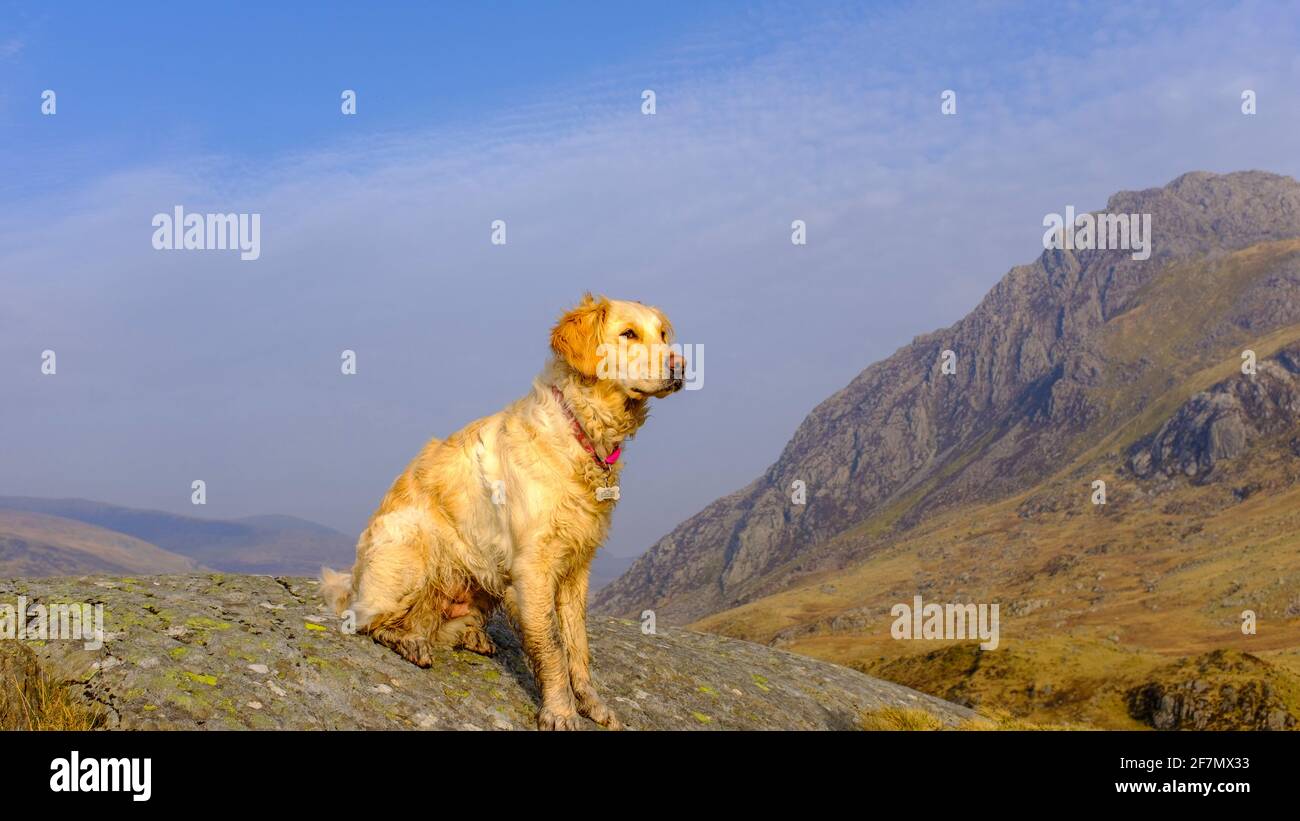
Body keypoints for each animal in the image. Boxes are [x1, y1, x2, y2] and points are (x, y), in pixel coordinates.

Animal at [321, 294, 686, 732]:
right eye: (628, 334)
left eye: (663, 334)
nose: (681, 366)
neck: (580, 430)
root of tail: (353, 582)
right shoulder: (533, 567)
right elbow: (552, 648)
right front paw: (561, 712)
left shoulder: (576, 568)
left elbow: (577, 645)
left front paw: (591, 703)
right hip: (411, 547)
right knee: (371, 622)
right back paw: (410, 642)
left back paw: (471, 635)